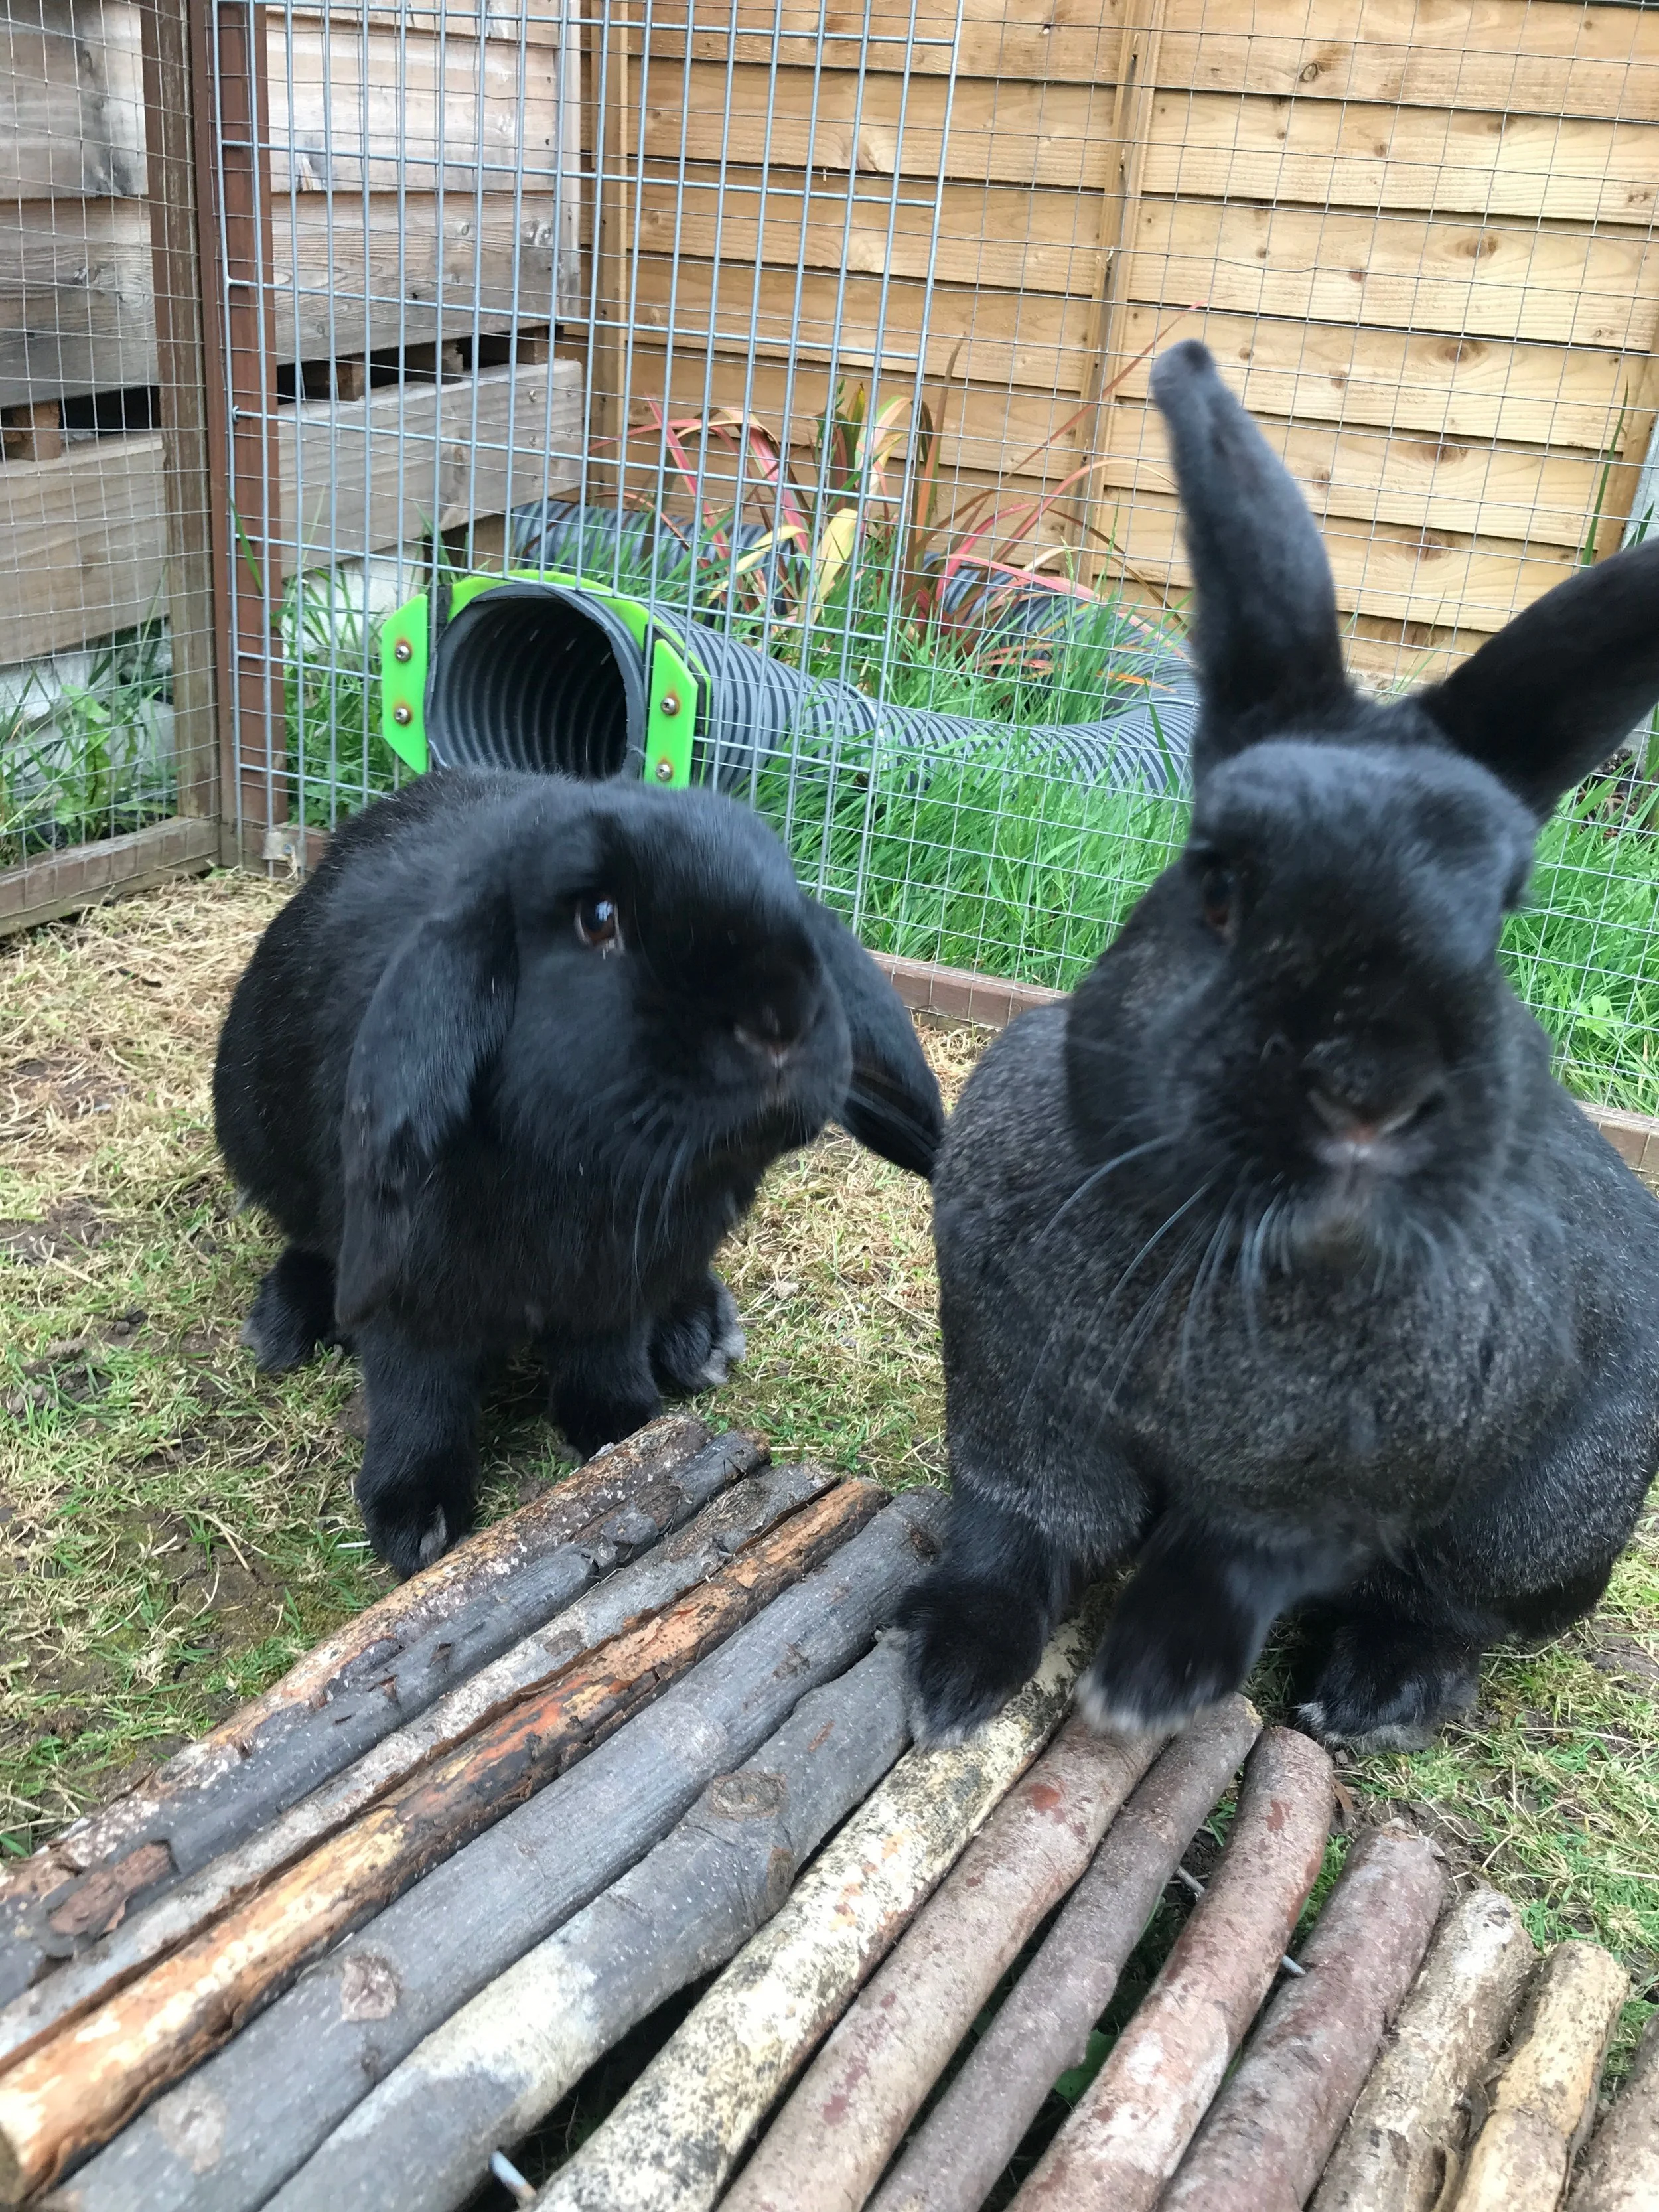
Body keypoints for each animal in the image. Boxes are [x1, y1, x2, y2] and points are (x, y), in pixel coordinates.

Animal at [214, 767, 942, 1576]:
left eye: (784, 884)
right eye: (597, 917)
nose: (783, 1016)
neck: (586, 1168)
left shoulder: (618, 1282)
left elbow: (605, 1352)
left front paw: (622, 1430)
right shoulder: (413, 1296)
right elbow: (417, 1393)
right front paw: (414, 1519)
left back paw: (698, 1335)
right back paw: (283, 1322)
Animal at [900, 338, 1659, 1756]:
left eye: (1500, 915)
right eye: (1219, 884)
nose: (1371, 1089)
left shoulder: (1354, 1483)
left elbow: (1243, 1563)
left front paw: (1149, 1682)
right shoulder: (1017, 1399)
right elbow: (1016, 1528)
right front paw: (945, 1676)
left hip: (1545, 1524)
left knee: (1456, 1611)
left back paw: (1375, 1695)